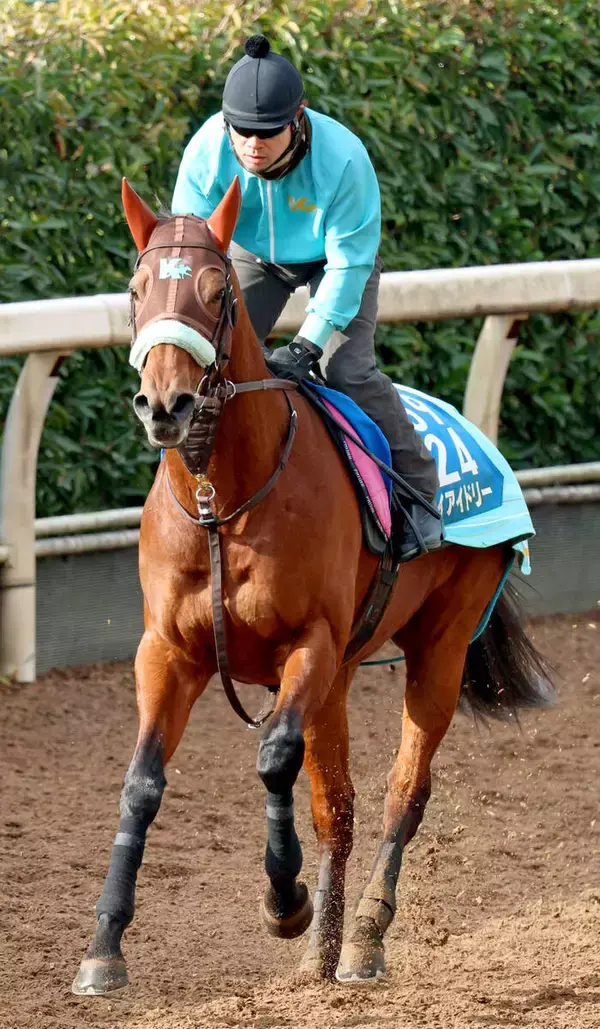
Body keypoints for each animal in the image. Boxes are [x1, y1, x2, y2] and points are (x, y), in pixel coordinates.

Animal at [73, 177, 551, 994]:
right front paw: (104, 947)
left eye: (217, 291)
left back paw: (359, 938)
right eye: (135, 291)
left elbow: (273, 760)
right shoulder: (166, 651)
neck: (223, 503)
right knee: (341, 807)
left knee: (402, 791)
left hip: (440, 644)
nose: (165, 405)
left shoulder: (313, 645)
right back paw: (323, 952)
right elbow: (141, 782)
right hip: (344, 678)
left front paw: (284, 900)